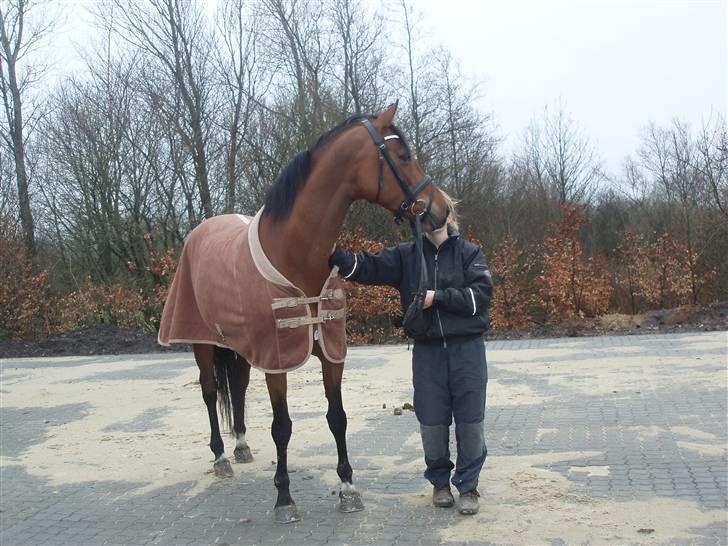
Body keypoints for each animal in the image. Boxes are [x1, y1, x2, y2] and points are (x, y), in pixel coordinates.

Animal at [159, 100, 450, 520]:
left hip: (239, 346)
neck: (295, 253)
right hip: (203, 342)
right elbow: (281, 426)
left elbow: (337, 418)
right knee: (210, 392)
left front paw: (348, 488)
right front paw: (284, 497)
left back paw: (241, 446)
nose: (441, 209)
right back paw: (220, 457)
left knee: (239, 388)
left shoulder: (330, 351)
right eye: (403, 155)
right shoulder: (277, 358)